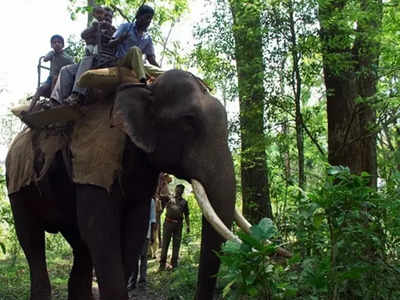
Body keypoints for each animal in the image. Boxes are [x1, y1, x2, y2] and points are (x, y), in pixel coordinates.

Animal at [6, 70, 252, 300]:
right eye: (188, 121)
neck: (144, 87)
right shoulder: (94, 158)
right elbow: (99, 230)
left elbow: (135, 228)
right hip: (16, 186)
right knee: (32, 240)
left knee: (79, 244)